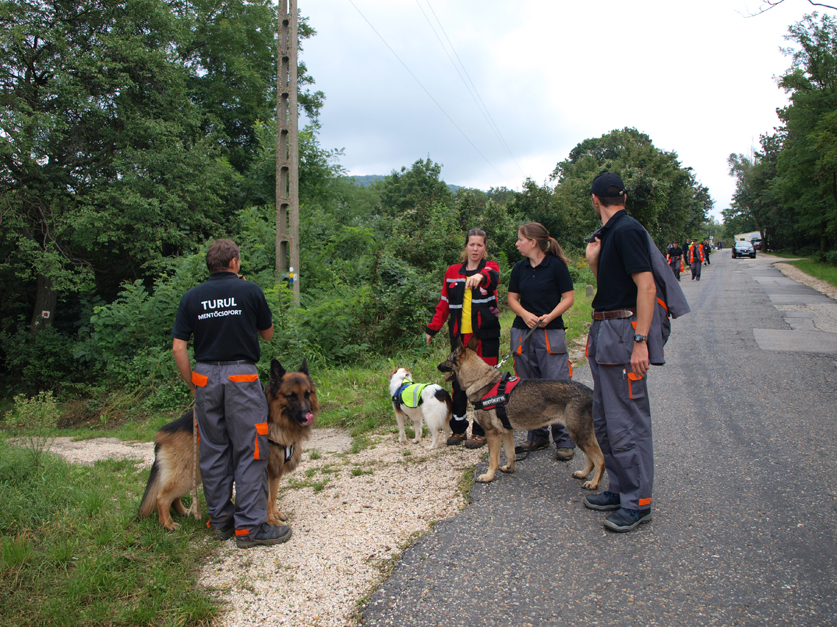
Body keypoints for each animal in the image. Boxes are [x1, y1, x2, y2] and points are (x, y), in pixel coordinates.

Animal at [140, 360, 316, 532]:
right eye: (291, 396)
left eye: (307, 394)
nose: (307, 415)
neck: (276, 418)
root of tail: (163, 432)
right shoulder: (264, 472)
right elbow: (265, 501)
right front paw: (271, 521)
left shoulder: (276, 470)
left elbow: (272, 496)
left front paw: (276, 514)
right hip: (186, 474)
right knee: (162, 497)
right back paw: (168, 524)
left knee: (174, 497)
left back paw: (184, 512)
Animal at [438, 340, 600, 488]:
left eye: (447, 359)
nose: (438, 366)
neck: (478, 379)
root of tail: (591, 393)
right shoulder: (506, 431)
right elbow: (511, 453)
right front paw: (510, 468)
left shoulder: (493, 433)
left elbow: (493, 459)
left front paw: (489, 476)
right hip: (582, 437)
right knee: (592, 460)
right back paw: (583, 474)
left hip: (578, 435)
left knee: (600, 459)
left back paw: (593, 483)